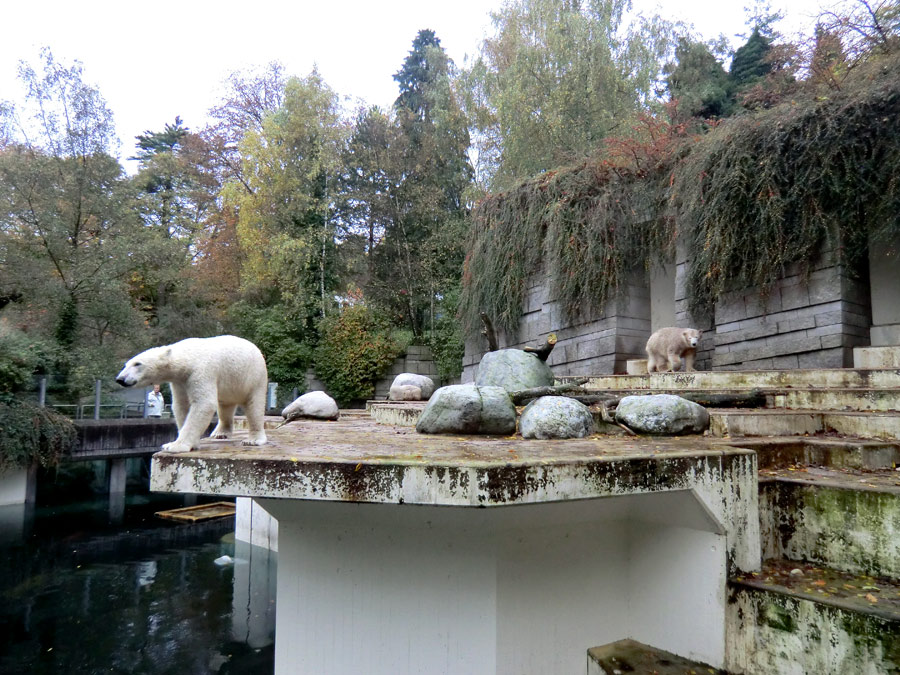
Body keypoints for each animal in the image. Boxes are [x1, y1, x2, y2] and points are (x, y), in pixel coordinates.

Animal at [114, 334, 268, 452]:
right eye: (126, 364)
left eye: (137, 364)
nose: (120, 379)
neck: (187, 358)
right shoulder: (179, 381)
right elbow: (181, 406)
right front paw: (189, 444)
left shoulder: (201, 372)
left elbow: (204, 404)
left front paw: (174, 446)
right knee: (225, 406)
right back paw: (220, 433)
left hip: (254, 377)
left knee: (254, 406)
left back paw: (253, 440)